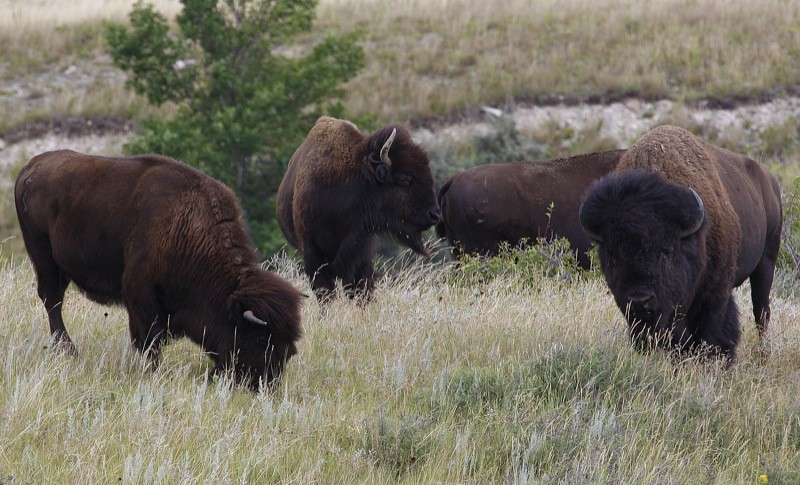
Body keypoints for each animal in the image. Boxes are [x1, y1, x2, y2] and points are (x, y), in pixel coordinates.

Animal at [15, 150, 303, 390]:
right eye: (261, 340)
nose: (266, 383)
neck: (187, 226)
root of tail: (31, 168)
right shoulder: (140, 293)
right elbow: (150, 339)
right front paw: (153, 372)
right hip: (43, 256)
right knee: (52, 300)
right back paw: (68, 351)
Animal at [579, 125, 782, 361]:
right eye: (613, 256)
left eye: (666, 250)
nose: (640, 301)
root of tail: (770, 181)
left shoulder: (716, 293)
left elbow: (713, 329)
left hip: (766, 262)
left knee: (761, 312)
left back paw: (763, 353)